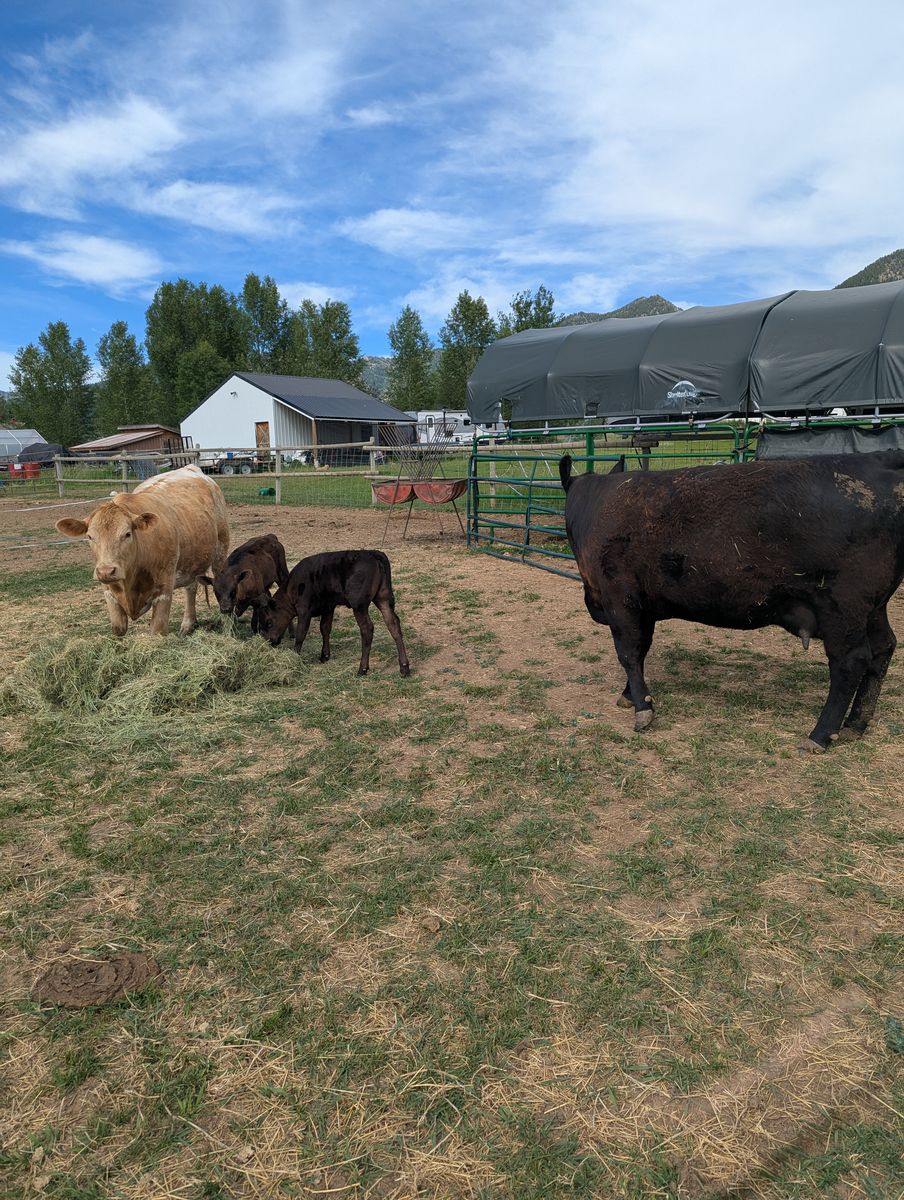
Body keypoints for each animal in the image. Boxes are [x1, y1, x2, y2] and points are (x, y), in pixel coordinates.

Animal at [56, 464, 230, 636]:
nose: (106, 571)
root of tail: (191, 467)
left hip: (221, 550)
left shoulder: (164, 588)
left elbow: (157, 629)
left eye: (127, 534)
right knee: (191, 588)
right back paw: (188, 624)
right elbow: (118, 628)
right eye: (90, 536)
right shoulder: (109, 592)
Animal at [256, 549, 411, 677]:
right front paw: (324, 655)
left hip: (359, 605)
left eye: (269, 622)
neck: (291, 589)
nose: (269, 641)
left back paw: (362, 669)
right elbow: (325, 628)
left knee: (367, 629)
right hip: (383, 599)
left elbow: (301, 634)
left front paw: (294, 657)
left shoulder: (304, 610)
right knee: (393, 624)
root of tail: (373, 553)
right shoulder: (328, 606)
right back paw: (404, 667)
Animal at [559, 451, 904, 752]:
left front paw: (642, 708)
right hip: (872, 607)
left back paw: (820, 735)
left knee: (851, 660)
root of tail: (879, 459)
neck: (594, 506)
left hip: (842, 606)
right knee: (883, 647)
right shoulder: (644, 605)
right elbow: (642, 650)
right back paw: (856, 724)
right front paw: (630, 695)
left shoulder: (620, 598)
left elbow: (629, 653)